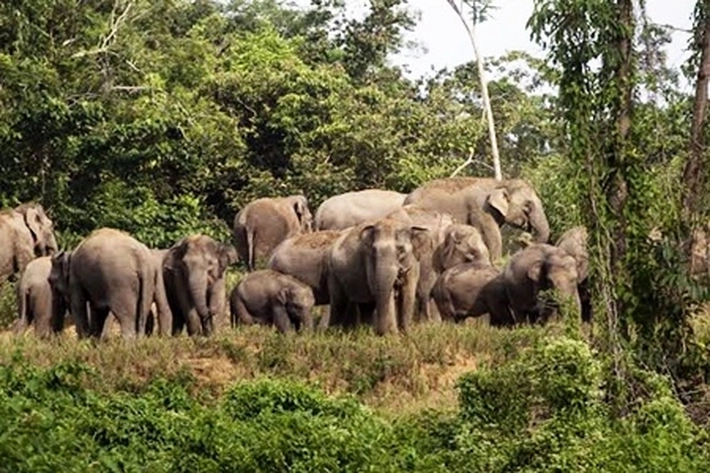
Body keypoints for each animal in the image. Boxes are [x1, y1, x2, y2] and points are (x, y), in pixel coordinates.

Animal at [406, 178, 552, 262]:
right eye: (527, 205)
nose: (524, 237)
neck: (500, 183)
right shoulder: (481, 209)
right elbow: (491, 234)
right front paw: (496, 263)